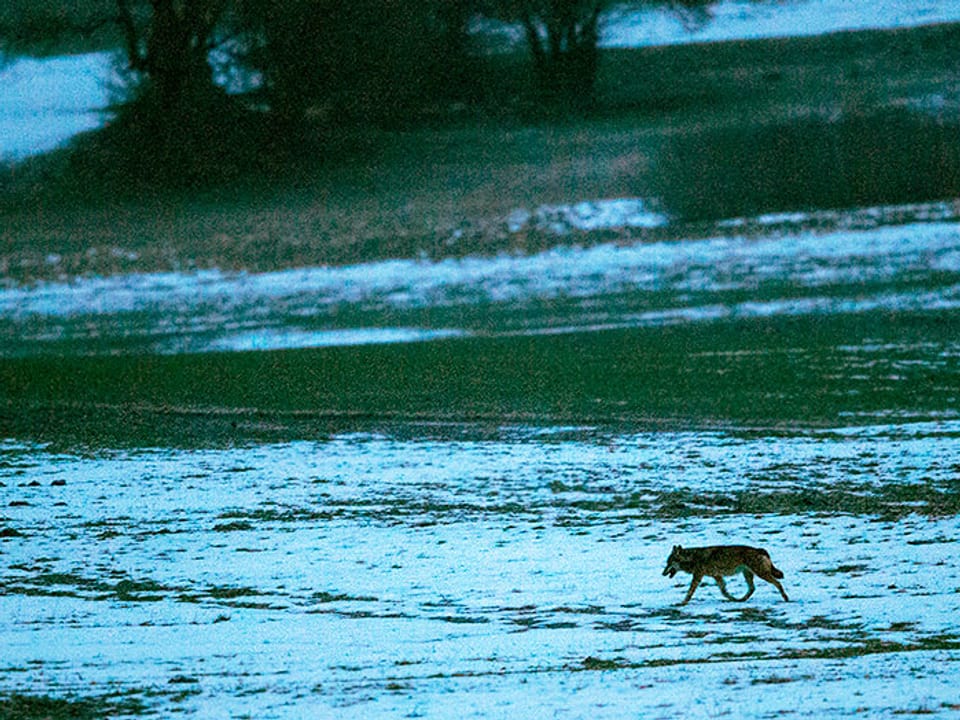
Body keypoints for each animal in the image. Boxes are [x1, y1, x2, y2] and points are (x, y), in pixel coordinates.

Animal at [664, 544, 792, 604]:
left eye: (669, 563)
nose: (663, 573)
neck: (693, 558)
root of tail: (760, 549)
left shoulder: (698, 576)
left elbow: (690, 592)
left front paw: (683, 602)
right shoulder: (717, 576)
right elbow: (724, 591)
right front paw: (732, 599)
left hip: (761, 574)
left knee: (777, 583)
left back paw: (786, 598)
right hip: (748, 574)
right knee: (752, 588)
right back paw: (741, 600)